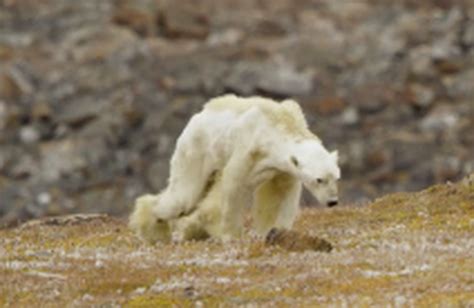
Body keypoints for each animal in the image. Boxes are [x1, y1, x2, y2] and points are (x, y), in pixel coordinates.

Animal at [130, 94, 340, 243]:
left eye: (336, 177)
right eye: (319, 179)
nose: (332, 201)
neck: (279, 123)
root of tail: (196, 117)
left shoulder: (281, 167)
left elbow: (278, 193)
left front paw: (274, 231)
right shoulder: (249, 147)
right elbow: (235, 185)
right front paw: (231, 235)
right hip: (196, 151)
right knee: (183, 197)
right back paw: (154, 230)